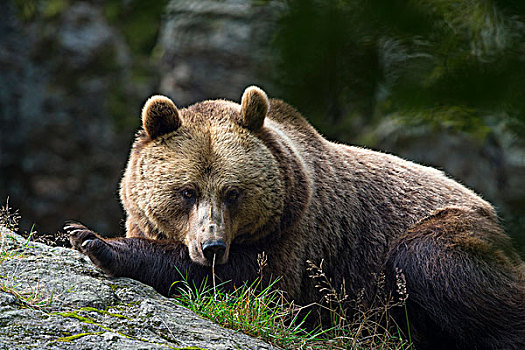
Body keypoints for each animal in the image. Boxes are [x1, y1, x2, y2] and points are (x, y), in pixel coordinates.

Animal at [66, 85, 524, 350]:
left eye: (233, 192)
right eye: (187, 191)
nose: (211, 246)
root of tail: (493, 213)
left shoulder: (300, 236)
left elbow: (254, 287)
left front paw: (94, 241)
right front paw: (81, 233)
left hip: (448, 232)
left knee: (431, 262)